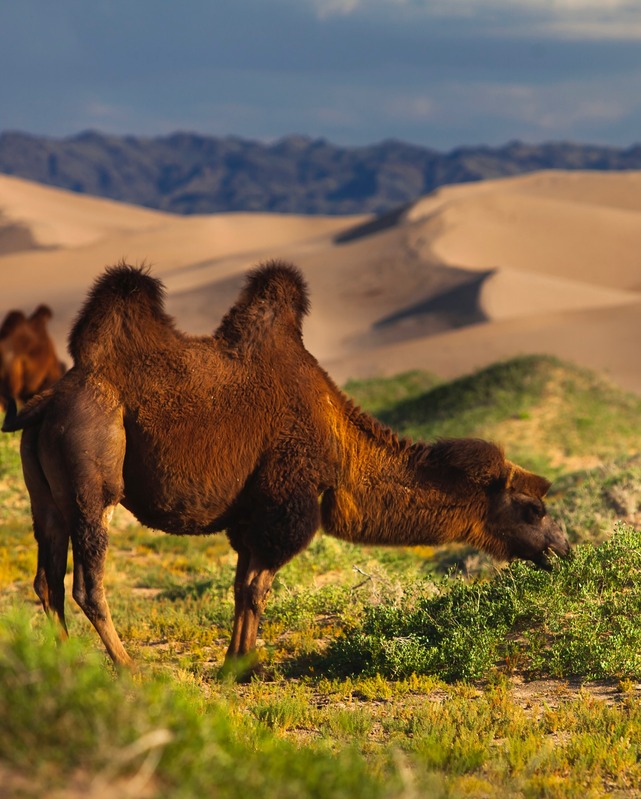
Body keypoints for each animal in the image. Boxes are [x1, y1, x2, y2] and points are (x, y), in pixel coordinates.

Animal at [3, 261, 570, 673]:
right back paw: (127, 667)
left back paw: (63, 663)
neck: (342, 450)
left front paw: (238, 661)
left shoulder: (252, 514)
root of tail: (49, 401)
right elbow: (259, 586)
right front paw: (242, 667)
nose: (564, 549)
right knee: (86, 582)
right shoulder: (287, 504)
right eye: (533, 509)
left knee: (47, 581)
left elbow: (242, 587)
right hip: (94, 476)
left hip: (43, 495)